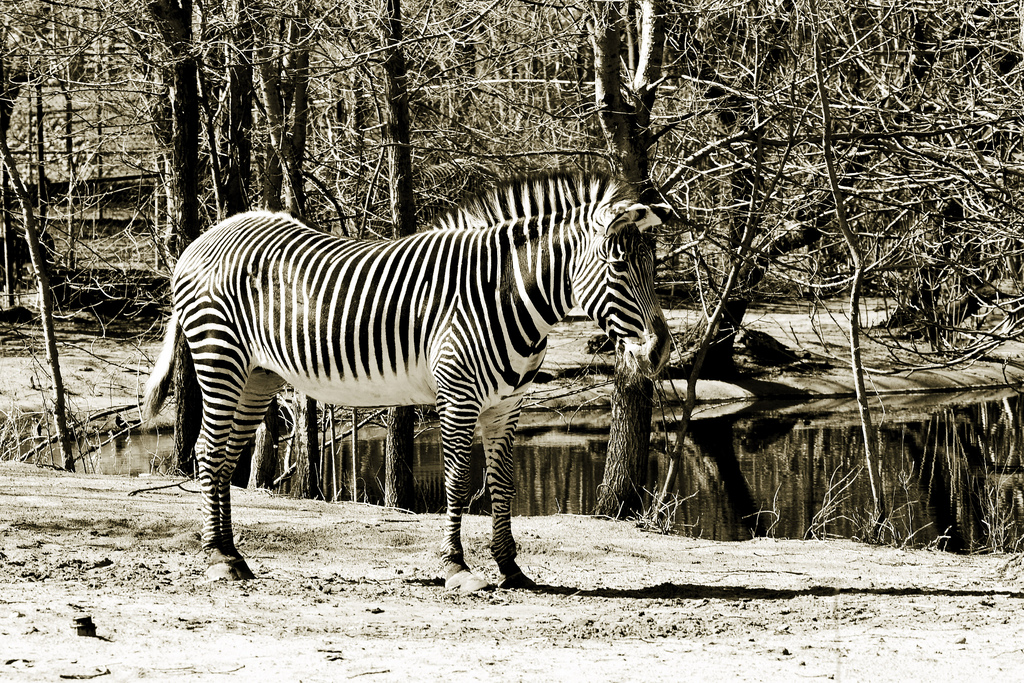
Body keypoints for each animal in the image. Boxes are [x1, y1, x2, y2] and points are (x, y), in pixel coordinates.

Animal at [141, 169, 672, 592]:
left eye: (652, 267)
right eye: (618, 266)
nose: (660, 351)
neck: (506, 296)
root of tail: (206, 236)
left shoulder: (508, 405)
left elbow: (503, 483)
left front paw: (511, 569)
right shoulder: (458, 393)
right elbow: (458, 480)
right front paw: (456, 567)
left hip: (258, 375)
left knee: (227, 457)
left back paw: (233, 554)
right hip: (220, 358)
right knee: (209, 452)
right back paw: (217, 558)